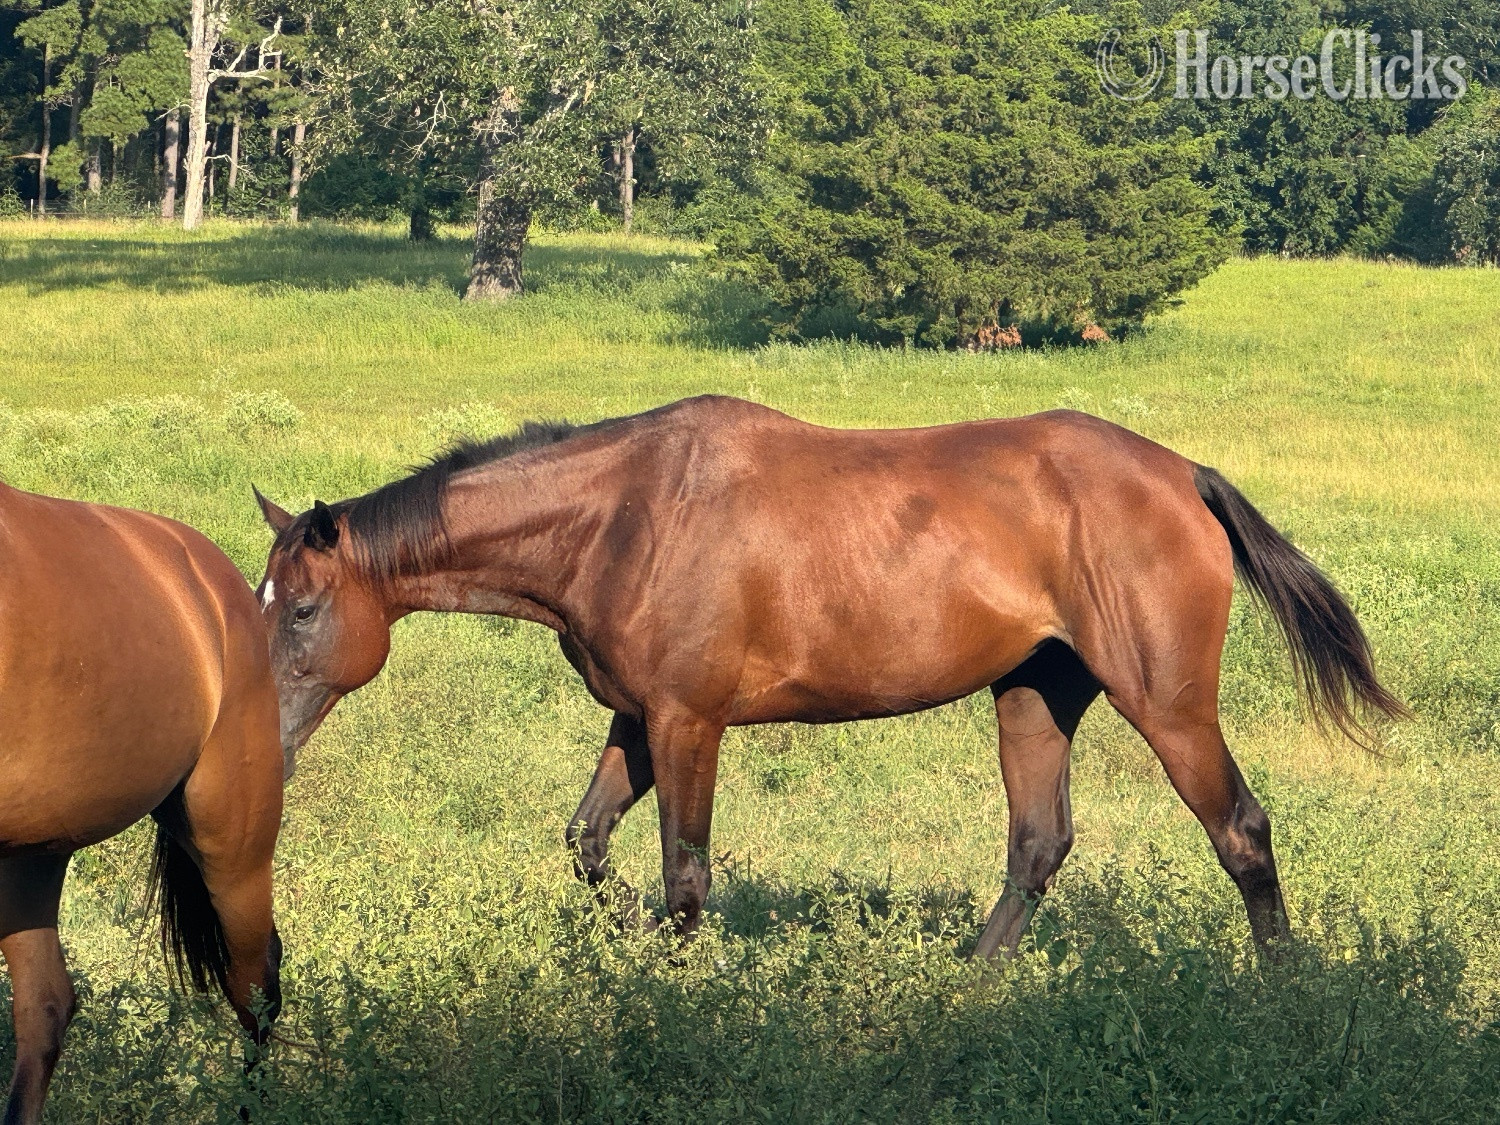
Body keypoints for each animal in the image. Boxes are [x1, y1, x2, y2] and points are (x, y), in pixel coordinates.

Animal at [252, 395, 1403, 957]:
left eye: (301, 609)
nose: (265, 745)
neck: (623, 515)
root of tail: (1184, 476)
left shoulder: (689, 722)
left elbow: (684, 876)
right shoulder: (637, 719)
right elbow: (588, 845)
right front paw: (634, 944)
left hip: (1167, 705)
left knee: (1242, 832)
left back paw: (1280, 990)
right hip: (1036, 694)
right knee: (1038, 846)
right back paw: (965, 986)